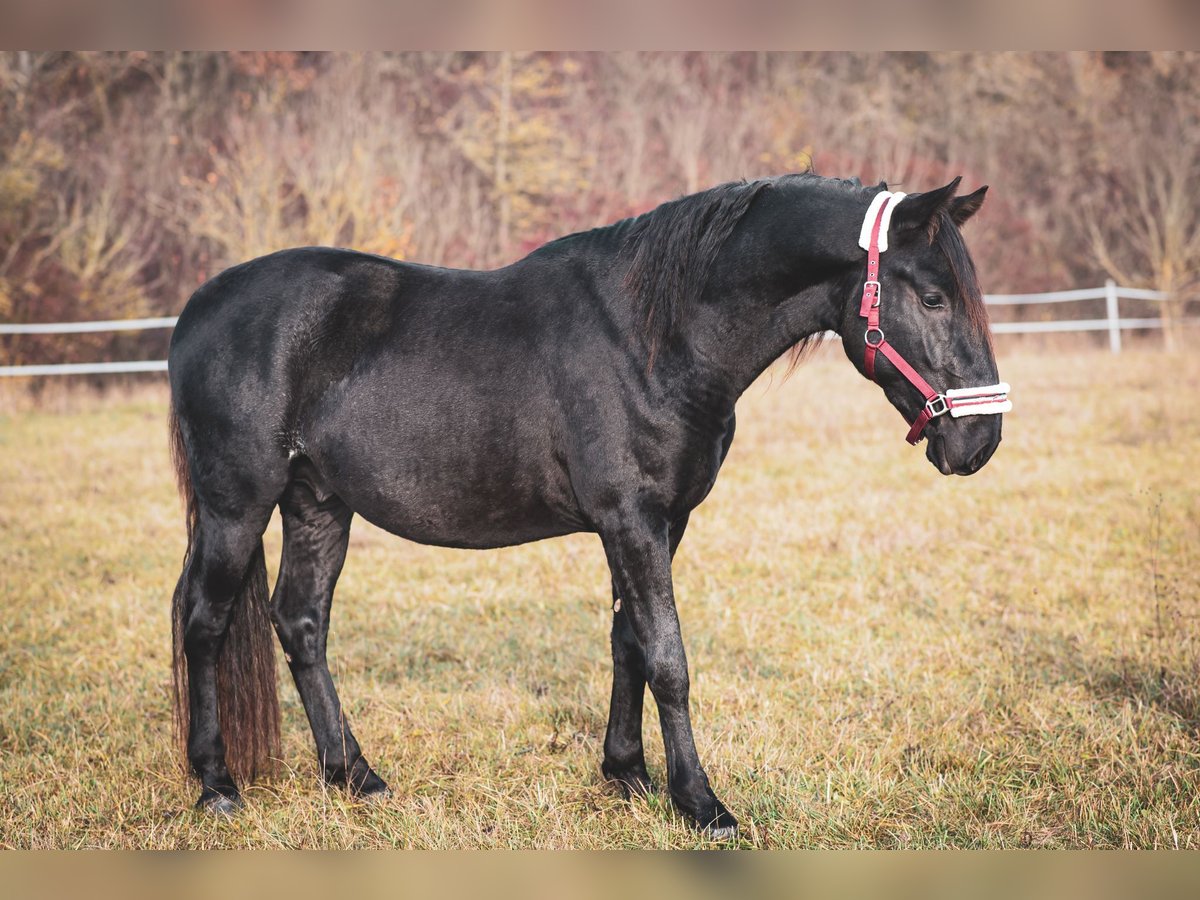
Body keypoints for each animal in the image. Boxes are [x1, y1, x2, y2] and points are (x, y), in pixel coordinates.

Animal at [164, 172, 998, 844]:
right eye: (931, 296)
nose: (981, 440)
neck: (653, 339)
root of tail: (197, 309)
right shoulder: (631, 518)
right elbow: (668, 658)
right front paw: (701, 803)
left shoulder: (659, 521)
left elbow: (629, 640)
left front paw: (626, 773)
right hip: (237, 506)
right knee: (203, 622)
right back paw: (218, 784)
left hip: (318, 503)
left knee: (301, 621)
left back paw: (354, 776)